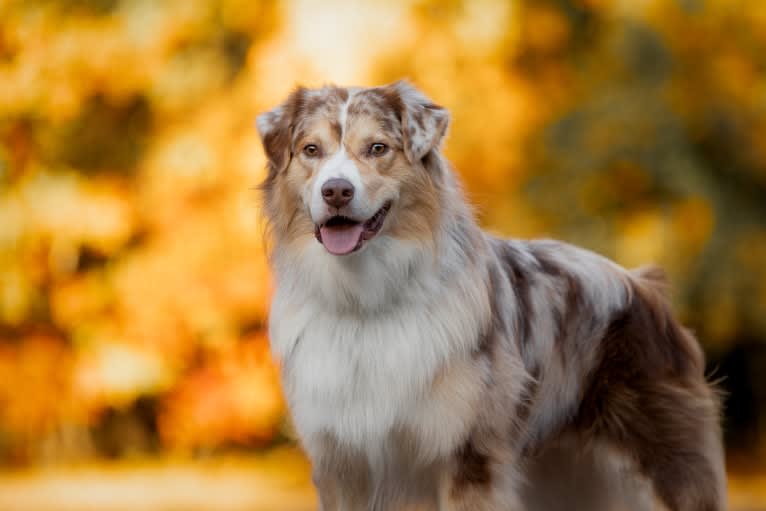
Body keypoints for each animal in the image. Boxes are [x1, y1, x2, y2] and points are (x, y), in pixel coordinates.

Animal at [256, 82, 728, 510]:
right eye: (311, 150)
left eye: (377, 148)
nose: (336, 191)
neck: (365, 302)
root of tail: (643, 284)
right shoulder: (342, 461)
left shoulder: (468, 456)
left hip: (669, 466)